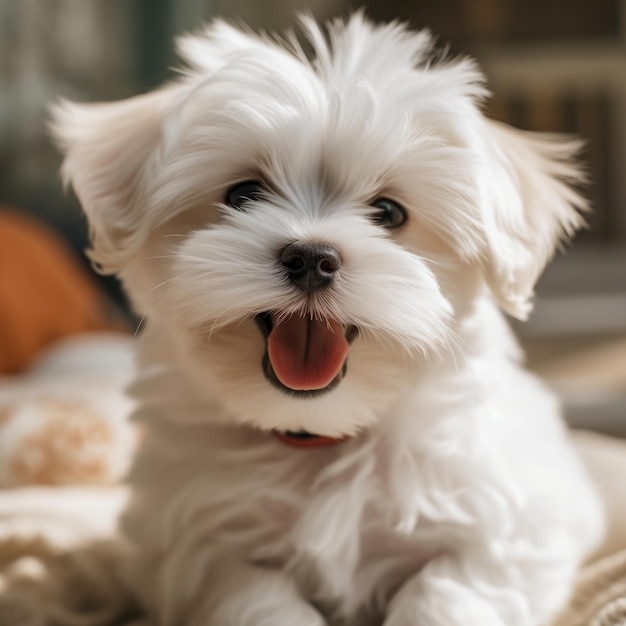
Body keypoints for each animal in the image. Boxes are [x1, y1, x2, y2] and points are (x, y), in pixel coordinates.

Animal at [51, 13, 604, 624]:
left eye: (388, 213)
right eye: (243, 194)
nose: (312, 257)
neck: (320, 435)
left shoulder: (518, 525)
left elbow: (450, 587)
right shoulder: (187, 542)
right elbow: (252, 594)